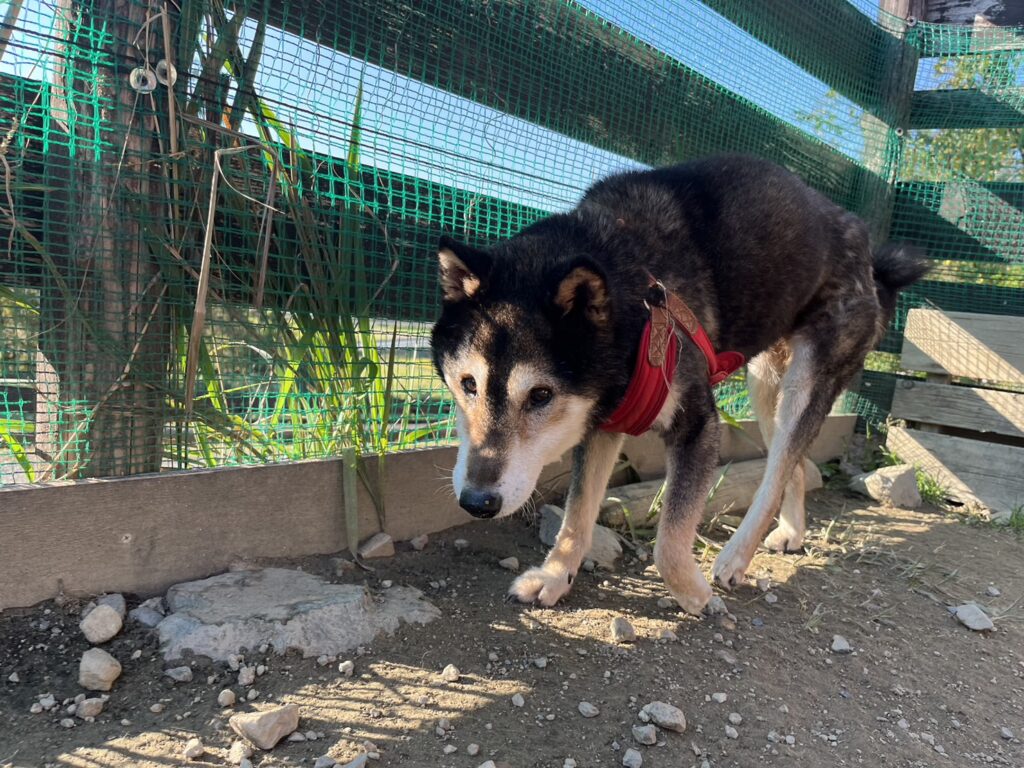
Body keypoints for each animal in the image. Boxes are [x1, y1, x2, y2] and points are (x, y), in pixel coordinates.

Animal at [430, 155, 927, 614]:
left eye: (540, 395)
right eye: (467, 384)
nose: (476, 501)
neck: (635, 300)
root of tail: (867, 250)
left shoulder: (698, 426)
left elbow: (669, 538)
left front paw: (694, 596)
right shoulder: (603, 424)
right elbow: (576, 515)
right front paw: (555, 576)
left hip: (805, 380)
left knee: (776, 473)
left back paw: (735, 558)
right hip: (765, 382)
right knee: (794, 467)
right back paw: (791, 532)